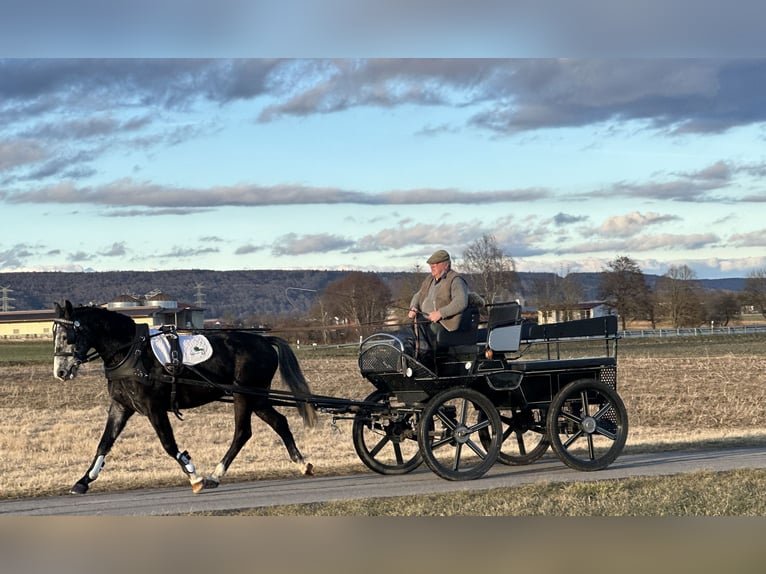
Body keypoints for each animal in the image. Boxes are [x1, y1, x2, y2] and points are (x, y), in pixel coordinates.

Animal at [53, 302, 318, 496]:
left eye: (68, 336)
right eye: (54, 333)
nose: (60, 372)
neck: (131, 352)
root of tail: (264, 340)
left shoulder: (154, 407)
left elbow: (168, 444)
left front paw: (194, 475)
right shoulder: (121, 407)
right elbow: (104, 443)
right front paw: (83, 481)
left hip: (244, 395)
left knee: (243, 432)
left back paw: (214, 475)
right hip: (257, 398)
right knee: (279, 423)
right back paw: (301, 463)